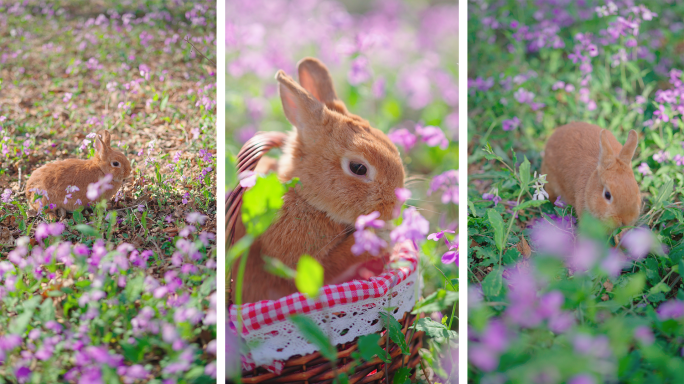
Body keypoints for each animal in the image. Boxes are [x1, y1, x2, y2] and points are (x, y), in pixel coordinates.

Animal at [235, 57, 406, 304]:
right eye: (358, 168)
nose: (395, 208)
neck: (306, 198)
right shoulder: (299, 264)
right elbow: (333, 264)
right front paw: (382, 236)